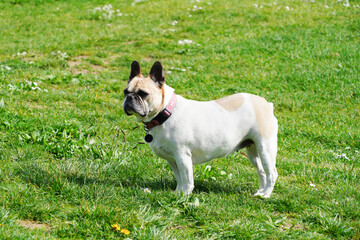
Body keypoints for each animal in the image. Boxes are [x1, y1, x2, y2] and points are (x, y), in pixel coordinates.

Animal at [122, 61, 278, 198]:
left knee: (271, 173)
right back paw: (260, 191)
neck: (165, 112)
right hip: (253, 150)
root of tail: (266, 104)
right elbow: (179, 177)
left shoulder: (182, 156)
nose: (129, 98)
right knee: (262, 171)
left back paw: (266, 195)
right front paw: (178, 193)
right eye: (125, 92)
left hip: (265, 148)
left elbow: (186, 179)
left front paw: (185, 195)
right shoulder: (172, 160)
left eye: (143, 93)